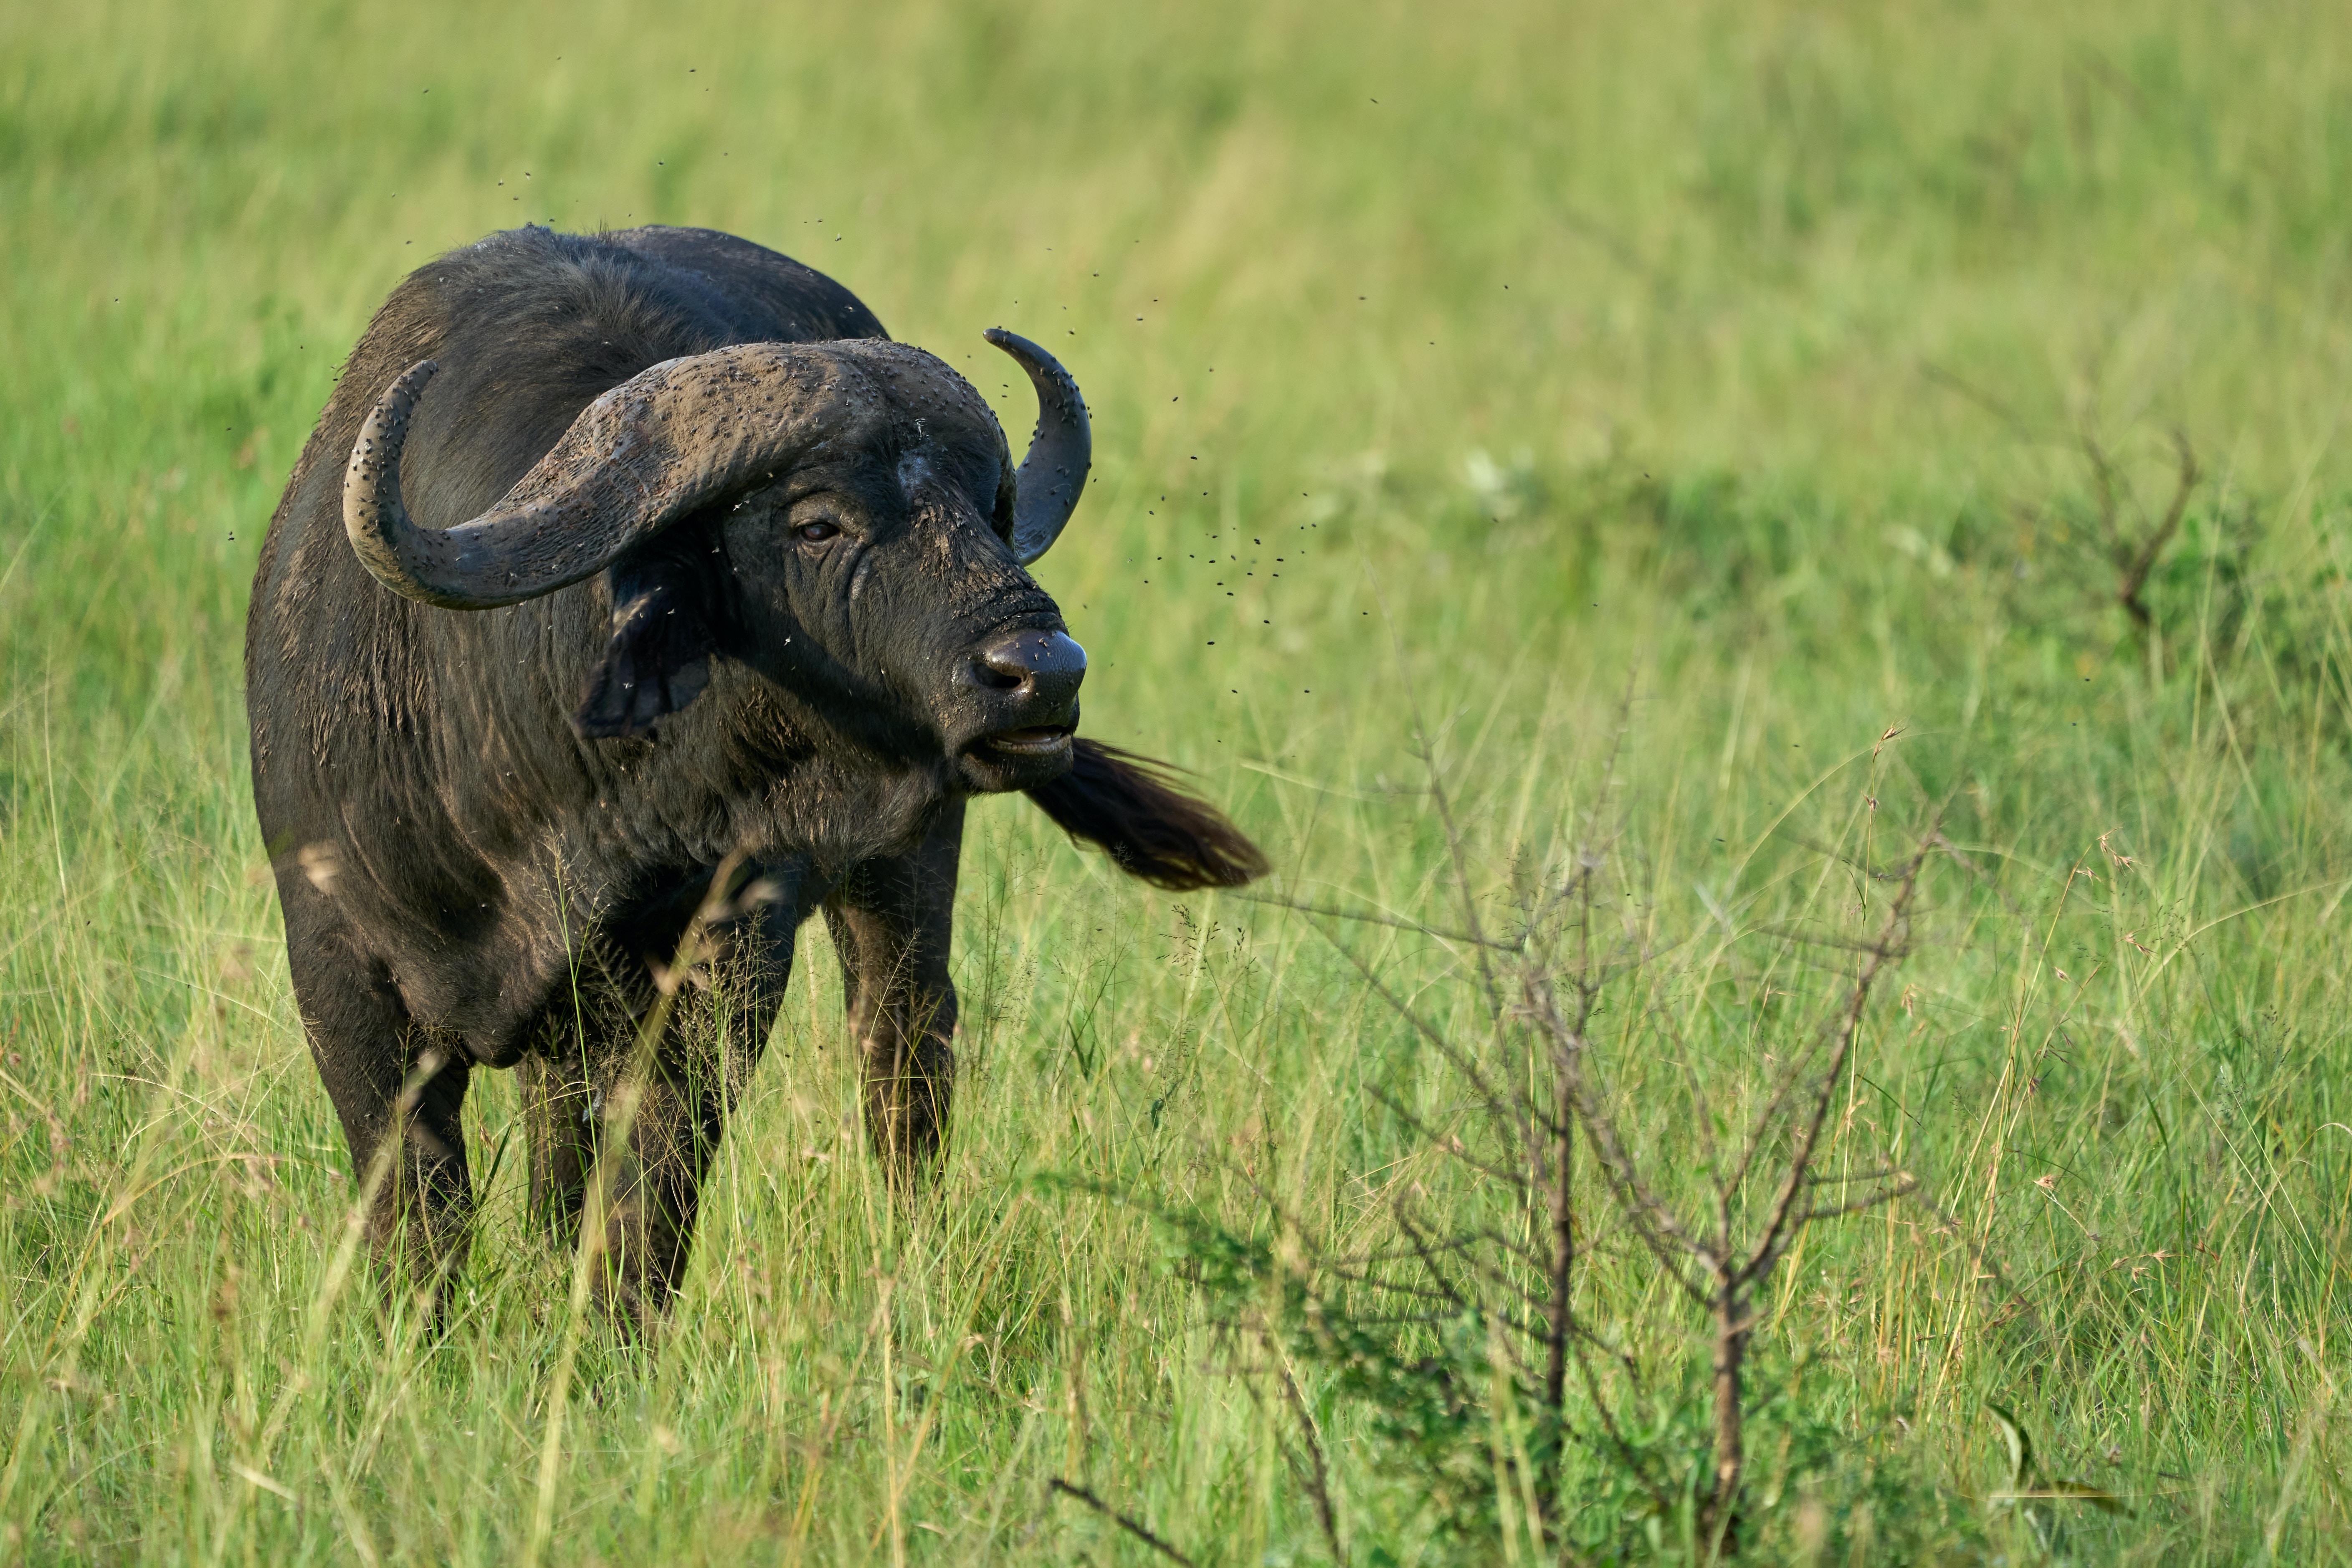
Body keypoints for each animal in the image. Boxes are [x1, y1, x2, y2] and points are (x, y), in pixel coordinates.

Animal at [246, 223, 1261, 1326]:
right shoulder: (337, 968)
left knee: (903, 1063)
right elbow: (420, 1212)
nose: (1042, 673)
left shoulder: (717, 965)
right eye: (816, 523)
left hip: (905, 869)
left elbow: (648, 1197)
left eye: (982, 511)